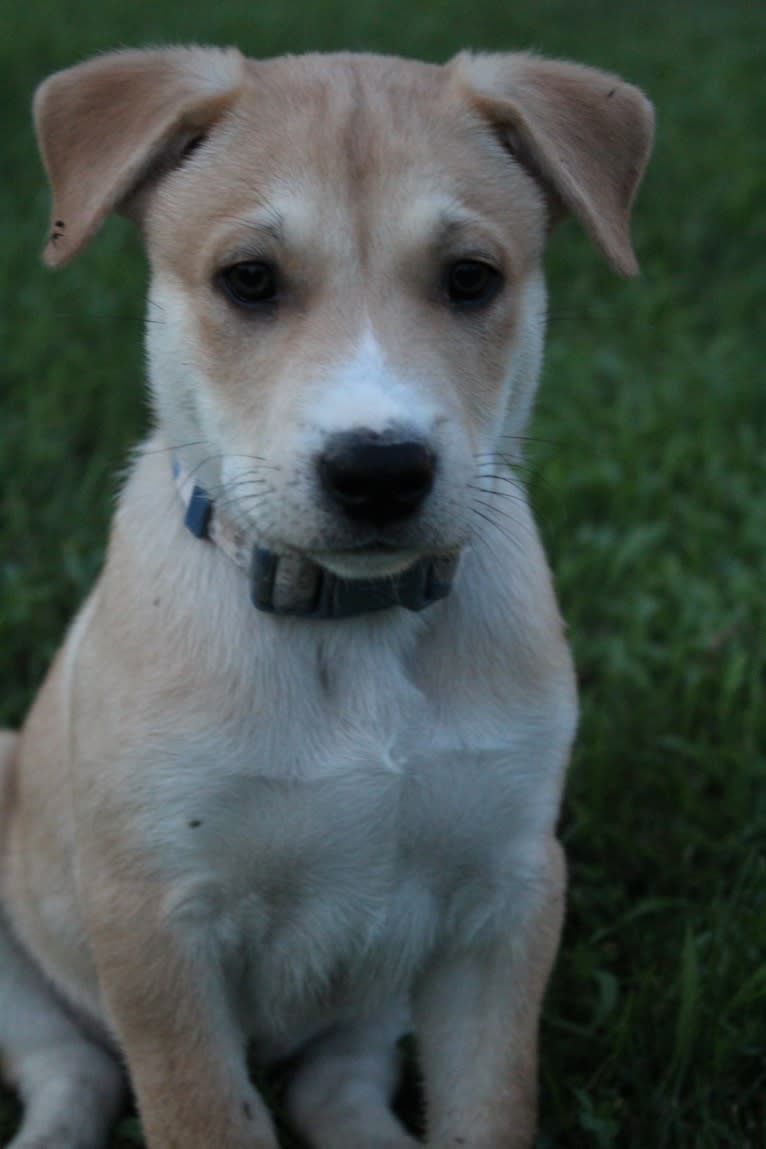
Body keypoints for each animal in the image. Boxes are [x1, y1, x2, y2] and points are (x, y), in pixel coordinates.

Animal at [0, 47, 652, 1149]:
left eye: (470, 278)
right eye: (249, 280)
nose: (380, 471)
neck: (353, 626)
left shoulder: (506, 896)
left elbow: (488, 1110)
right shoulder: (155, 923)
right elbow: (207, 1114)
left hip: (378, 1000)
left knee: (332, 1087)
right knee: (72, 1069)